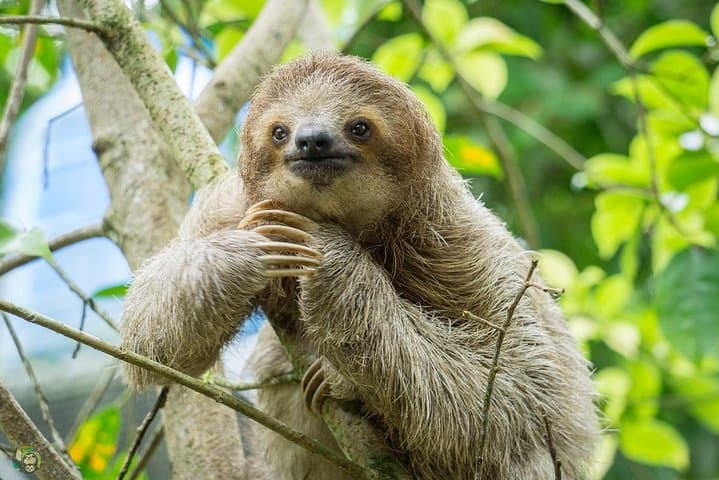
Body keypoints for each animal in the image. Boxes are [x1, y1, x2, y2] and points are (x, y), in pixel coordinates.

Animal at [120, 53, 599, 479]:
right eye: (279, 132)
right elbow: (149, 339)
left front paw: (332, 257)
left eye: (360, 127)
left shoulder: (458, 240)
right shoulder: (231, 205)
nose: (312, 140)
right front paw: (251, 249)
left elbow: (524, 394)